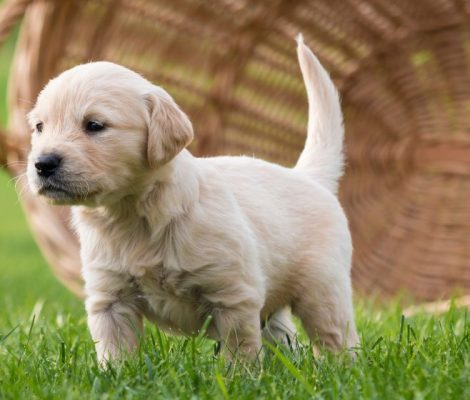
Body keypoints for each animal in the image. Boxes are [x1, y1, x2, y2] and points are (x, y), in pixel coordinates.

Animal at [27, 36, 358, 364]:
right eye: (40, 127)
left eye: (94, 125)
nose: (43, 163)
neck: (133, 214)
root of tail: (308, 176)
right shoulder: (110, 298)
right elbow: (116, 352)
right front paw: (116, 374)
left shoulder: (233, 295)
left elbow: (239, 351)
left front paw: (237, 376)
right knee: (287, 340)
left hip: (323, 290)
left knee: (336, 337)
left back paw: (340, 367)